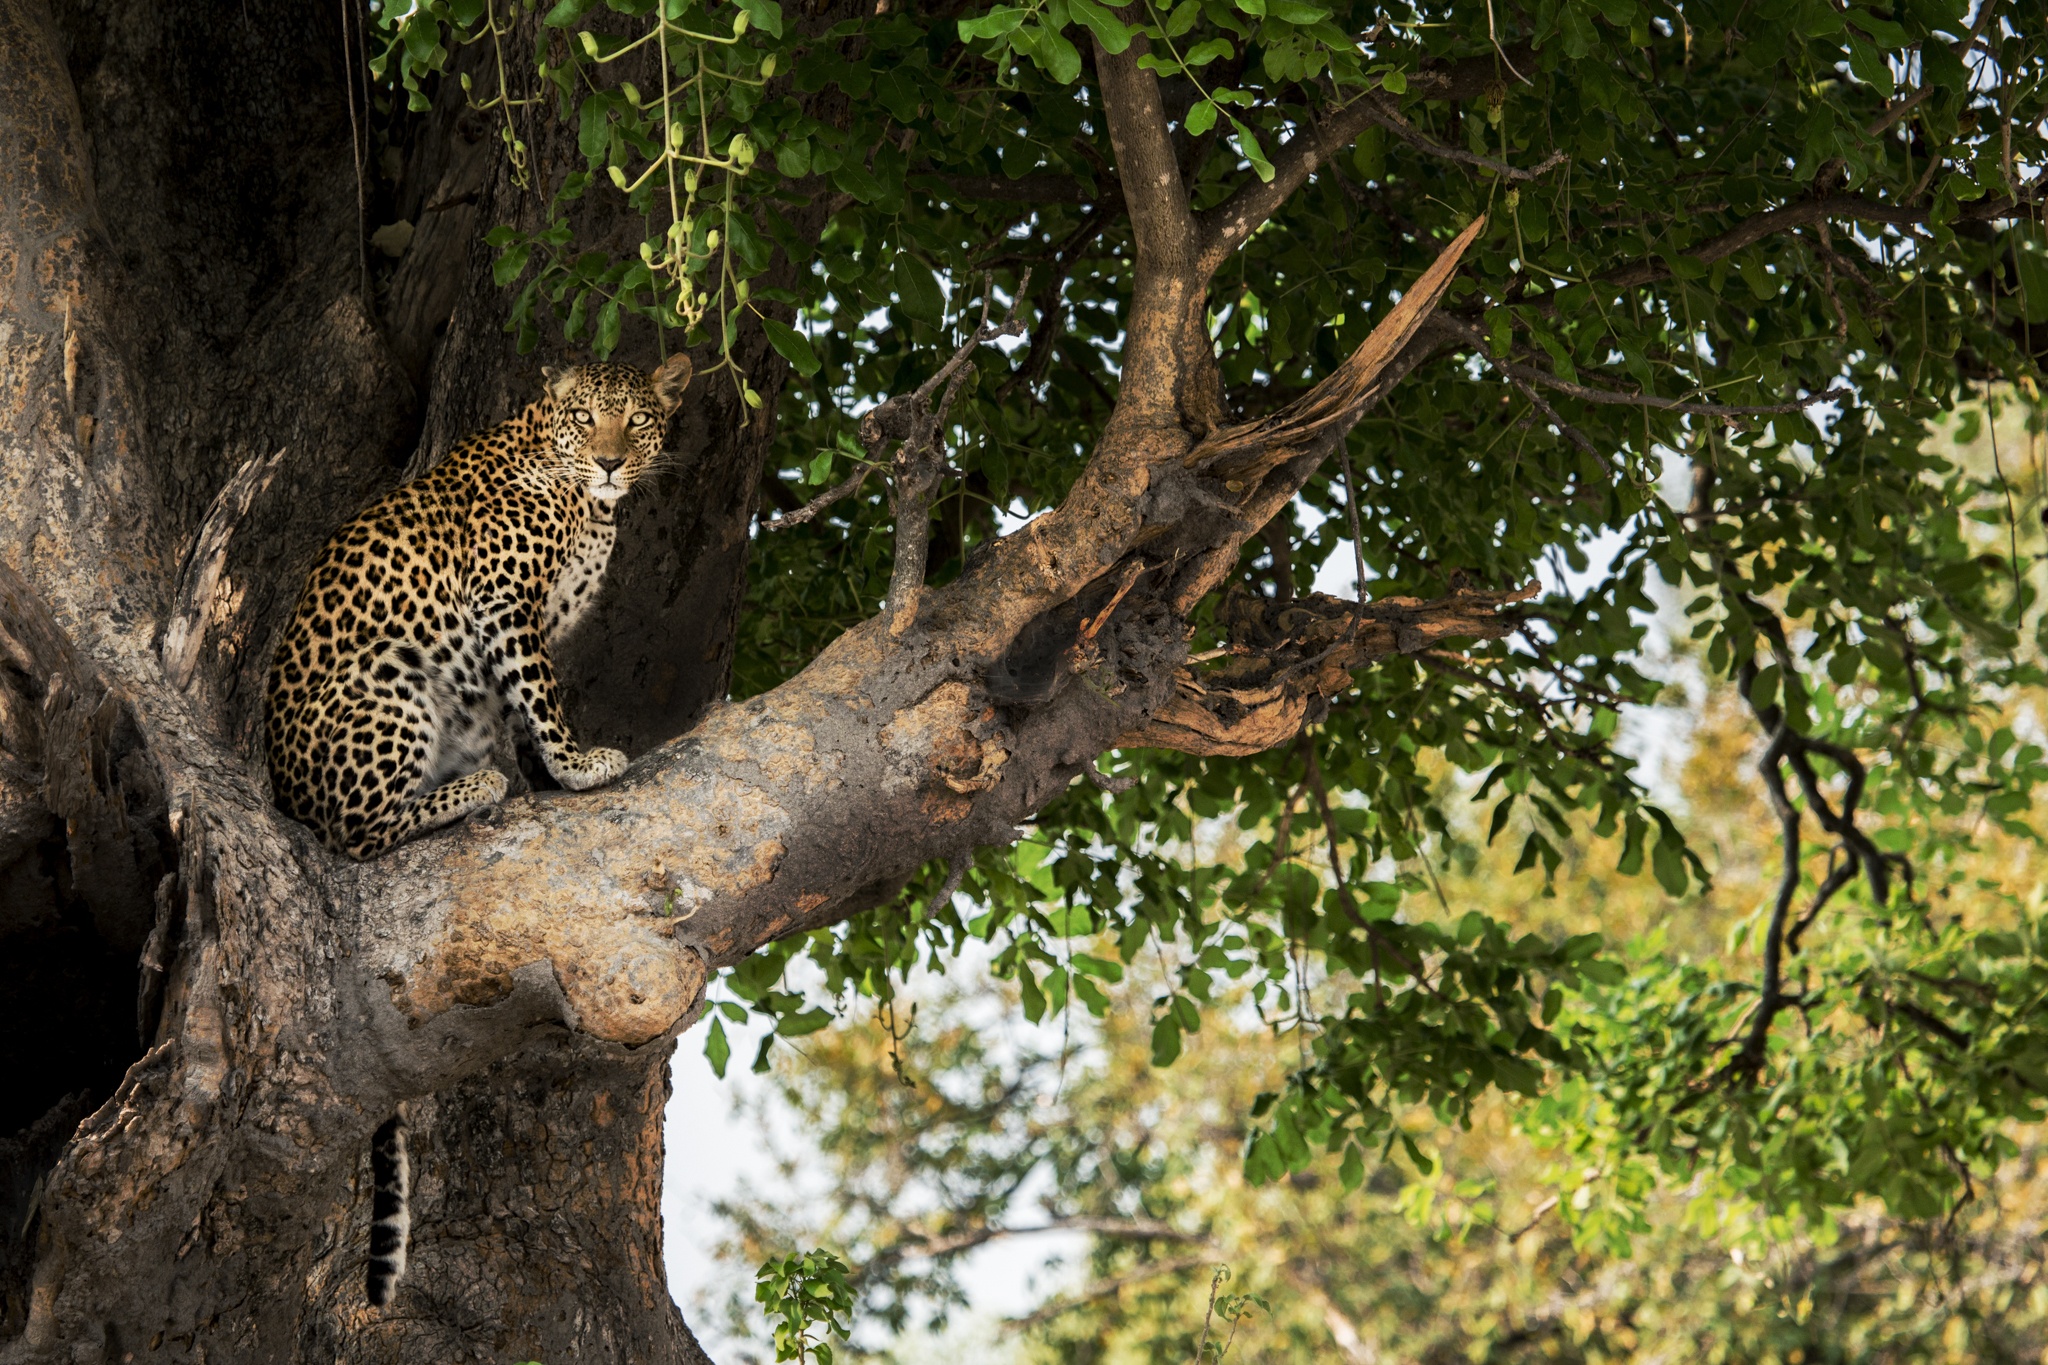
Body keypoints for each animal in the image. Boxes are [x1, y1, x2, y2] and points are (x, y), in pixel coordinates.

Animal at [264, 356, 692, 863]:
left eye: (638, 419)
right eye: (583, 416)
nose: (610, 464)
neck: (590, 504)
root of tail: (287, 799)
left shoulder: (520, 621)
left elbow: (521, 698)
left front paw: (549, 775)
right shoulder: (504, 595)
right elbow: (542, 694)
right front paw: (577, 764)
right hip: (385, 663)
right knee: (356, 833)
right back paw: (476, 786)